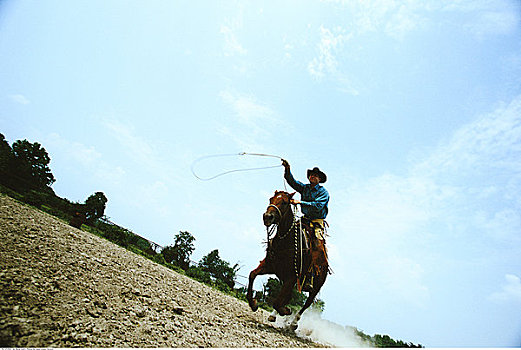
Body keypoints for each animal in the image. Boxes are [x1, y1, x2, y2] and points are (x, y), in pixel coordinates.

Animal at [246, 190, 328, 330]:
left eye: (284, 202)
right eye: (271, 199)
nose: (267, 216)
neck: (285, 240)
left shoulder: (292, 276)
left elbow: (278, 301)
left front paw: (286, 311)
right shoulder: (270, 266)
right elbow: (252, 275)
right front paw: (253, 303)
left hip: (316, 287)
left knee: (306, 304)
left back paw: (294, 323)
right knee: (287, 296)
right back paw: (274, 315)